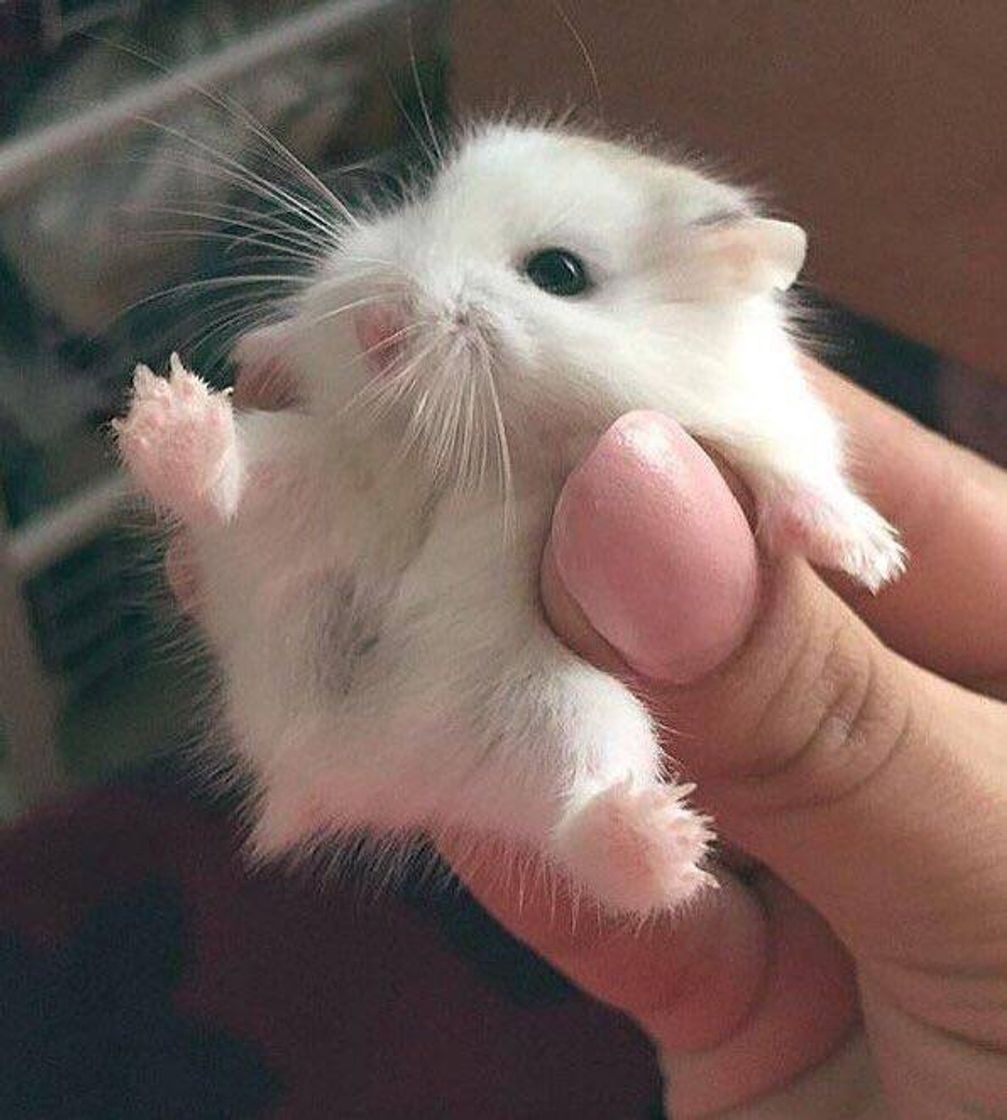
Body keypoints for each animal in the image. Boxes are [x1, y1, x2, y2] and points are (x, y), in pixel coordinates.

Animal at [115, 123, 905, 916]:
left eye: (559, 273)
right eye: (423, 205)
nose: (376, 328)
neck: (491, 442)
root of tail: (330, 766)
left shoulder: (762, 424)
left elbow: (798, 477)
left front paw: (872, 562)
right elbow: (301, 335)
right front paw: (257, 348)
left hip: (563, 708)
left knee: (584, 826)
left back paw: (664, 840)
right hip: (308, 477)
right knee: (229, 487)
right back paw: (168, 417)